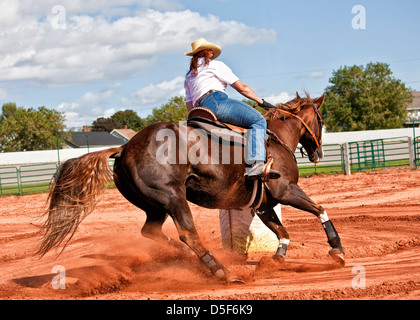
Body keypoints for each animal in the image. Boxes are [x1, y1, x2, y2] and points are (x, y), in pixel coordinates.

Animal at [36, 92, 344, 282]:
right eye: (321, 119)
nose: (318, 153)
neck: (275, 139)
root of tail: (124, 148)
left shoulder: (264, 205)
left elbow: (282, 232)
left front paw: (277, 259)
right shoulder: (286, 191)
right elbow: (320, 209)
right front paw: (337, 250)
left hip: (154, 205)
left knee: (152, 231)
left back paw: (184, 258)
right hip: (174, 198)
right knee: (188, 234)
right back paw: (221, 272)